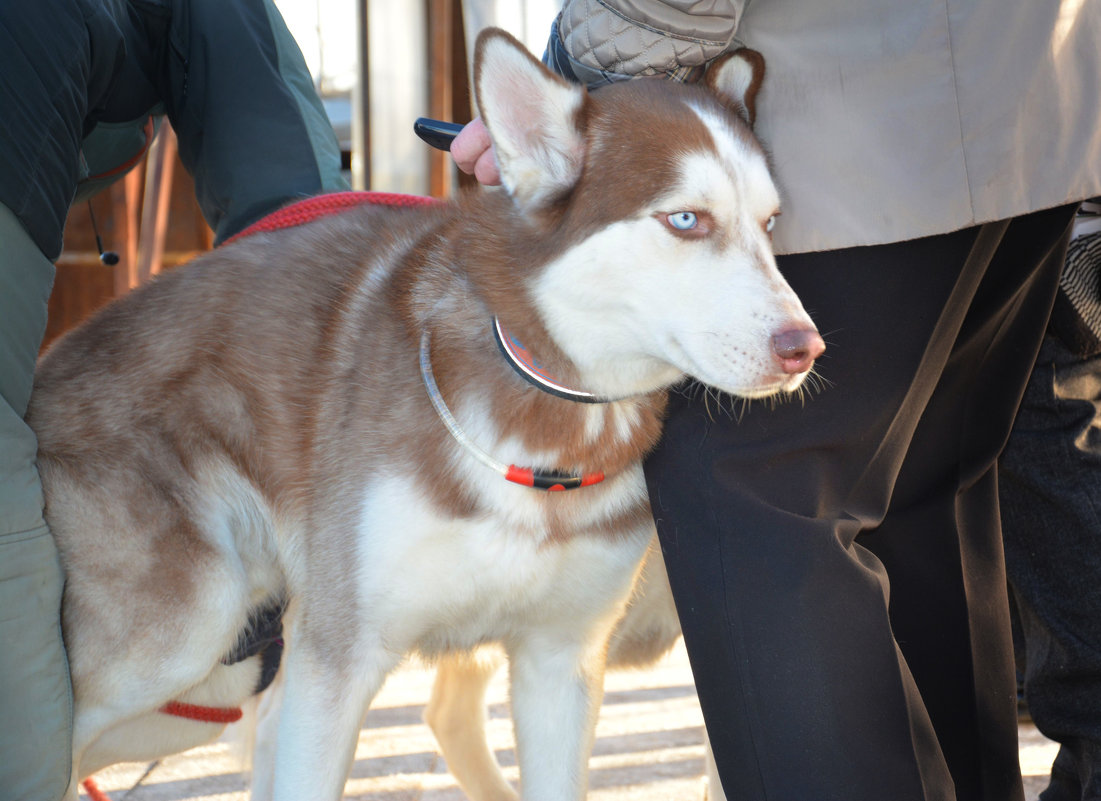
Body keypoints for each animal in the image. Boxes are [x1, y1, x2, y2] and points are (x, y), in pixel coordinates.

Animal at [30, 26, 823, 800]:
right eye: (685, 219)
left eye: (770, 223)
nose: (805, 347)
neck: (549, 431)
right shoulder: (335, 661)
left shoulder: (560, 661)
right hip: (186, 632)